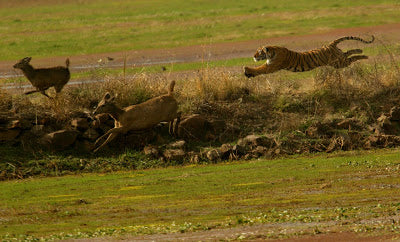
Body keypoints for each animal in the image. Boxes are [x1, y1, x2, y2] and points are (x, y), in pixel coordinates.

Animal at [244, 35, 376, 77]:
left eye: (258, 52)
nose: (253, 56)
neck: (272, 51)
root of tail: (330, 44)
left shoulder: (271, 66)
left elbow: (259, 69)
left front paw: (247, 70)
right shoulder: (270, 64)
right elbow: (259, 69)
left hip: (339, 63)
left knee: (352, 58)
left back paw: (365, 56)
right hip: (339, 59)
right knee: (349, 53)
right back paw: (360, 50)